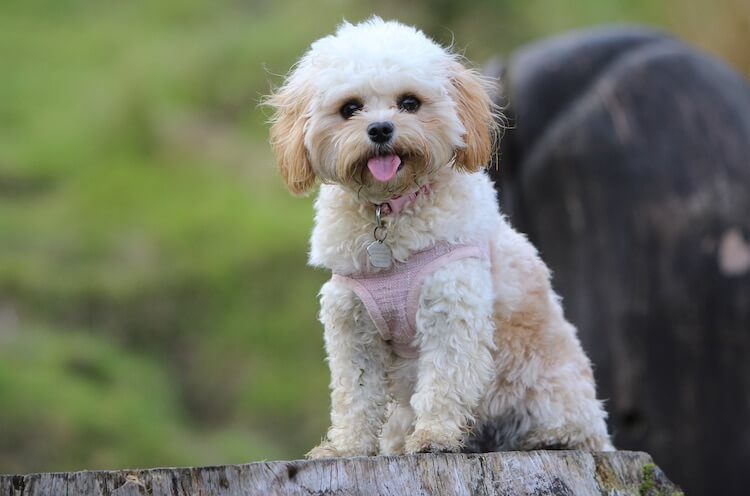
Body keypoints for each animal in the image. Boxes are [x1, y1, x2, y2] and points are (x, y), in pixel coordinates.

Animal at [268, 17, 612, 458]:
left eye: (410, 102)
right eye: (350, 108)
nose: (380, 129)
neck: (390, 212)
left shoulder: (452, 309)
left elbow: (443, 383)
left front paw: (434, 437)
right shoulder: (352, 325)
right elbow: (354, 394)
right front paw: (347, 447)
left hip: (549, 388)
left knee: (571, 427)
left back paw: (551, 438)